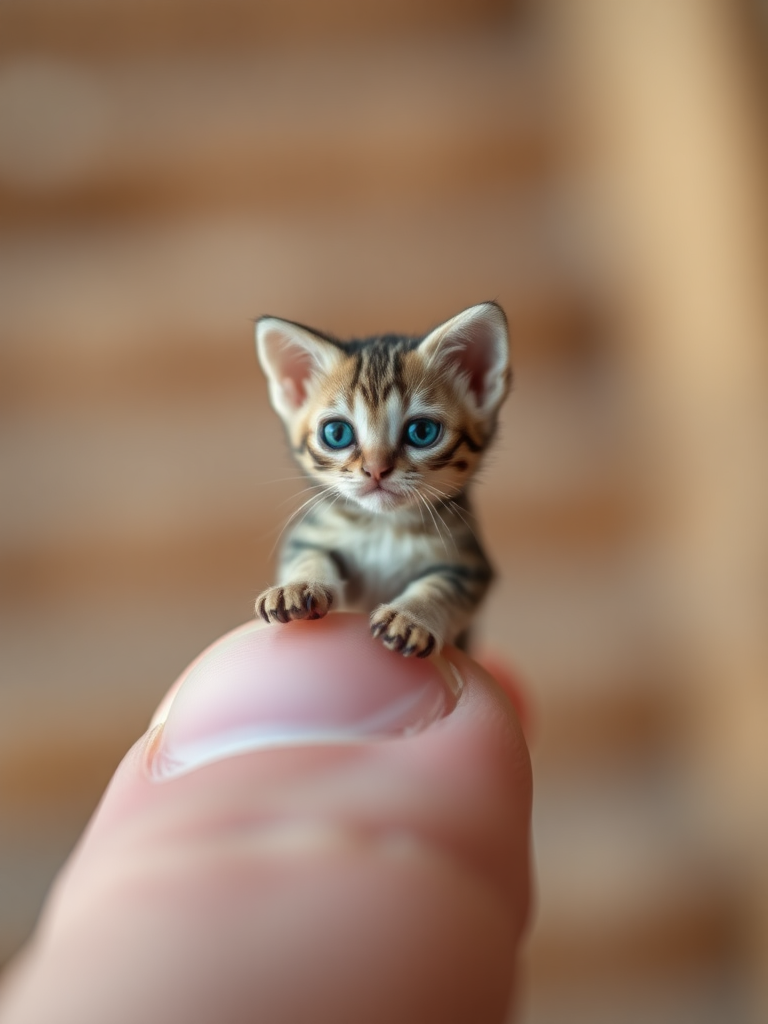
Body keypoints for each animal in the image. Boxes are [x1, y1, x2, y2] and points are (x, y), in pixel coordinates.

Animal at [256, 299, 514, 659]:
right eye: (337, 433)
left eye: (422, 432)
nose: (376, 469)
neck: (384, 526)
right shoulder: (310, 536)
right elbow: (310, 554)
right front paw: (298, 585)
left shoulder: (470, 566)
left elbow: (441, 586)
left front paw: (410, 617)